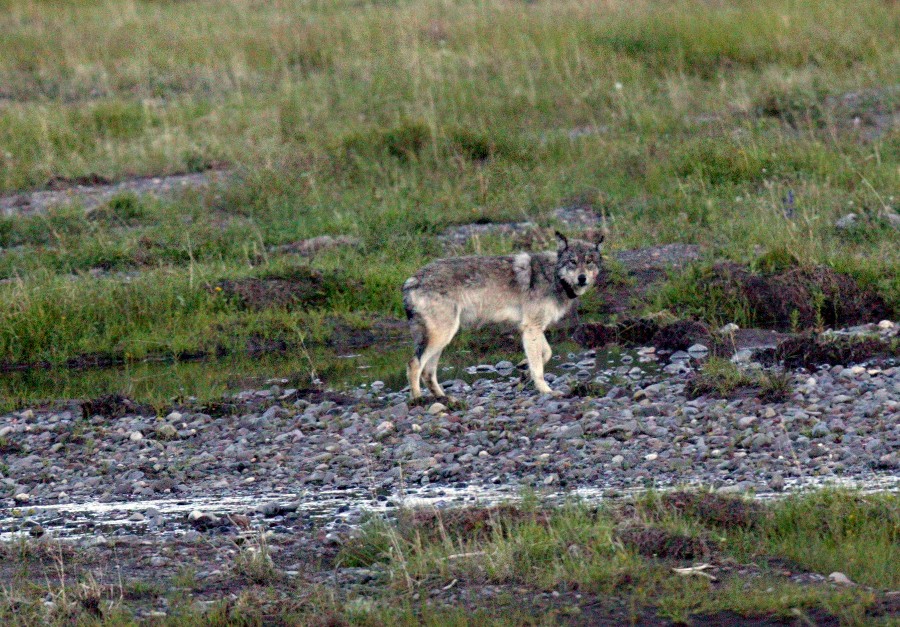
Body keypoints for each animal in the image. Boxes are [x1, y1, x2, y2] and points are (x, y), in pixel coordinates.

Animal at [402, 233, 604, 400]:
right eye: (572, 262)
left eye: (589, 261)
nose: (582, 278)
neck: (554, 276)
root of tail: (412, 280)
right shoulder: (532, 328)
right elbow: (539, 367)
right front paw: (546, 390)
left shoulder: (532, 328)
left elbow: (546, 354)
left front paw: (524, 371)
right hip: (442, 336)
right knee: (414, 365)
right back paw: (419, 400)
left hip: (442, 340)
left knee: (427, 372)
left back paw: (444, 398)